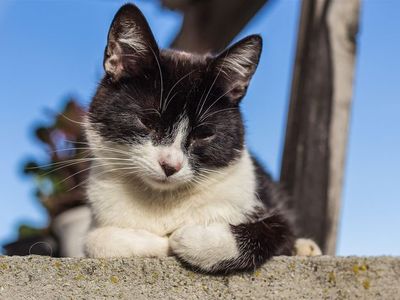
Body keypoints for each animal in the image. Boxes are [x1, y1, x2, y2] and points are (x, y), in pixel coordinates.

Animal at [84, 2, 322, 274]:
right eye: (147, 121)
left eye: (204, 134)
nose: (170, 165)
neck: (163, 202)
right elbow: (95, 241)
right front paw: (158, 243)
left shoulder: (267, 209)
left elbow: (273, 231)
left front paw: (189, 239)